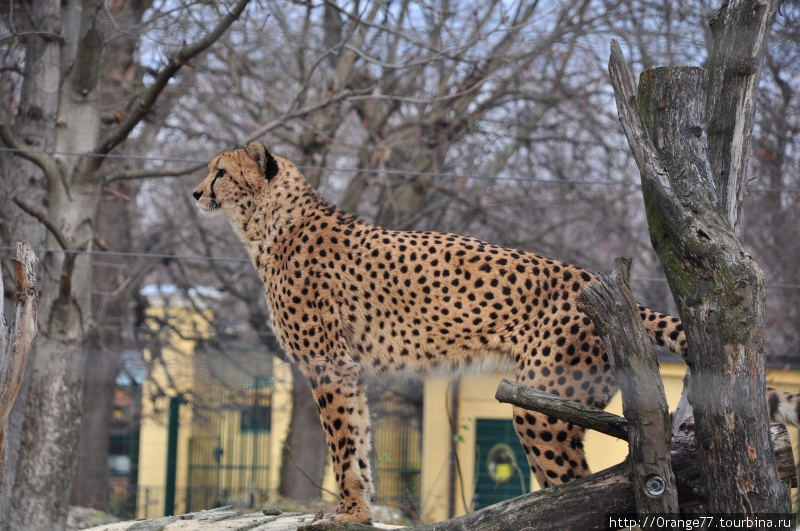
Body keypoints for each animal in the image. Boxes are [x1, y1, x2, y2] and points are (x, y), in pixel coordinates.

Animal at [194, 142, 800, 528]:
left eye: (219, 172)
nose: (196, 193)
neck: (270, 224)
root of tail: (591, 277)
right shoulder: (349, 370)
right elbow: (360, 443)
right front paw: (359, 511)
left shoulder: (328, 366)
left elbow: (343, 445)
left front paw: (346, 513)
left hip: (542, 405)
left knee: (575, 491)